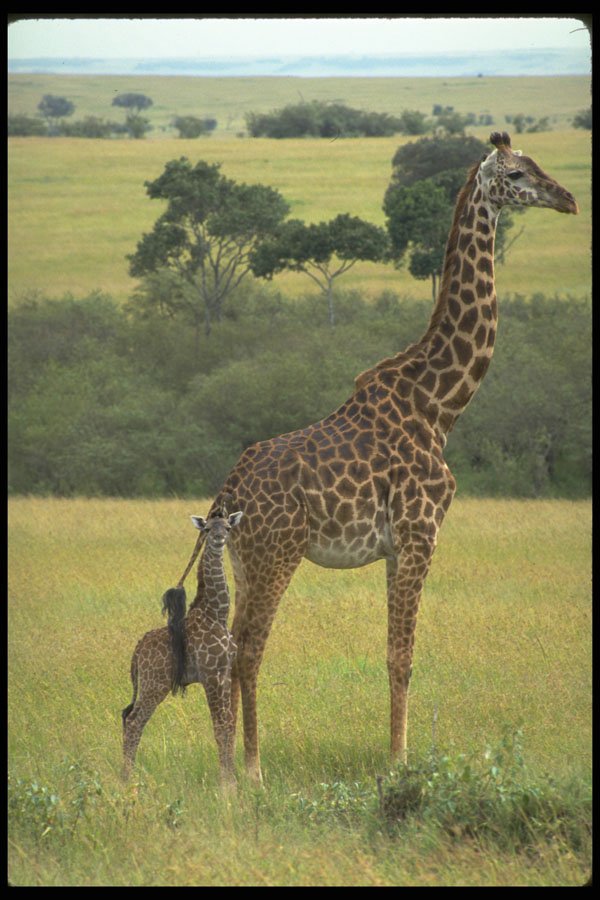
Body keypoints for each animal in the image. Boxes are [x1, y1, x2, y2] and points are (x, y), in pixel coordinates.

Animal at [122, 510, 243, 785]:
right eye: (207, 529)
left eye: (228, 527)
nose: (218, 539)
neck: (216, 613)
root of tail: (136, 652)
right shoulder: (211, 674)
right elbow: (219, 725)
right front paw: (227, 782)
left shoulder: (225, 672)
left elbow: (229, 723)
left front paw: (231, 776)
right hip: (155, 683)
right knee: (134, 721)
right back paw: (127, 778)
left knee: (127, 717)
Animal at [191, 132, 578, 782]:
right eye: (519, 174)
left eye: (538, 164)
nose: (569, 199)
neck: (441, 405)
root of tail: (228, 493)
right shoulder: (421, 532)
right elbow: (403, 655)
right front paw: (398, 762)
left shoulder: (397, 546)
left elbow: (394, 652)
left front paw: (396, 755)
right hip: (277, 555)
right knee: (248, 650)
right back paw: (252, 771)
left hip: (243, 561)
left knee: (229, 646)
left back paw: (229, 767)